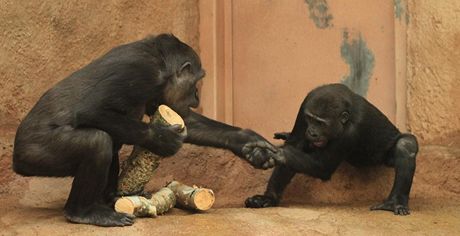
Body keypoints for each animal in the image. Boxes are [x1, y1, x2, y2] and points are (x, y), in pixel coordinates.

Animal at [12, 34, 278, 227]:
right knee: (98, 141)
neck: (161, 64)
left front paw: (248, 143)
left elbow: (185, 119)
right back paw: (83, 212)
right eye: (196, 80)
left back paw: (111, 199)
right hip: (36, 155)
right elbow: (92, 109)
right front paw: (161, 139)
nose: (197, 95)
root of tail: (16, 161)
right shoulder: (140, 72)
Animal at [246, 83, 418, 216]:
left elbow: (322, 166)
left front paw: (276, 153)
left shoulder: (351, 131)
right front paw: (269, 198)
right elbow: (295, 145)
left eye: (321, 123)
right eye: (310, 119)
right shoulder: (304, 107)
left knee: (405, 144)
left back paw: (394, 202)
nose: (311, 132)